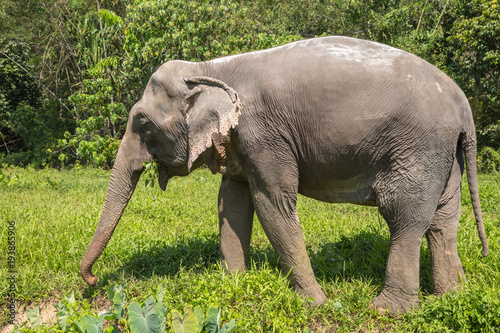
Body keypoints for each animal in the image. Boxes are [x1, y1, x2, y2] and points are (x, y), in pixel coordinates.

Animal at [81, 35, 488, 314]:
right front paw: (234, 284)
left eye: (144, 125)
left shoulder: (263, 134)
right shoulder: (241, 139)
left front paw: (316, 303)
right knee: (443, 220)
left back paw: (387, 311)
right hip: (445, 155)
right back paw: (451, 295)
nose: (93, 279)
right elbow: (232, 202)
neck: (210, 68)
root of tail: (464, 108)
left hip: (418, 149)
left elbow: (272, 204)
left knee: (404, 217)